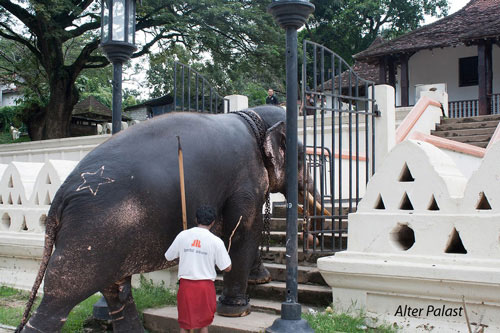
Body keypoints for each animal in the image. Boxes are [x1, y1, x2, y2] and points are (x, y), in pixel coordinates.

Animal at [17, 105, 314, 330]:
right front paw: (237, 312)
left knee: (116, 290)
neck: (251, 118)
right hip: (90, 231)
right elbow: (242, 232)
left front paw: (260, 279)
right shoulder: (245, 181)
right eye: (302, 157)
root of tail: (60, 197)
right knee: (62, 292)